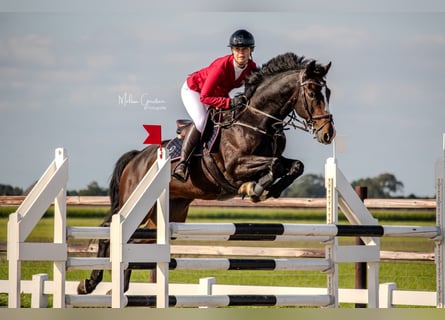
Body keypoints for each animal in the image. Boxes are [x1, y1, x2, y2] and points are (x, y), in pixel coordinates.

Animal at [77, 52, 332, 296]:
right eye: (312, 92)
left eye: (328, 92)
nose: (328, 134)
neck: (258, 120)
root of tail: (137, 157)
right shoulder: (235, 167)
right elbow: (276, 165)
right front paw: (255, 188)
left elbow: (295, 165)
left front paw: (270, 189)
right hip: (134, 201)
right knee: (109, 233)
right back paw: (89, 284)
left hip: (168, 212)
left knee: (135, 241)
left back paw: (119, 287)